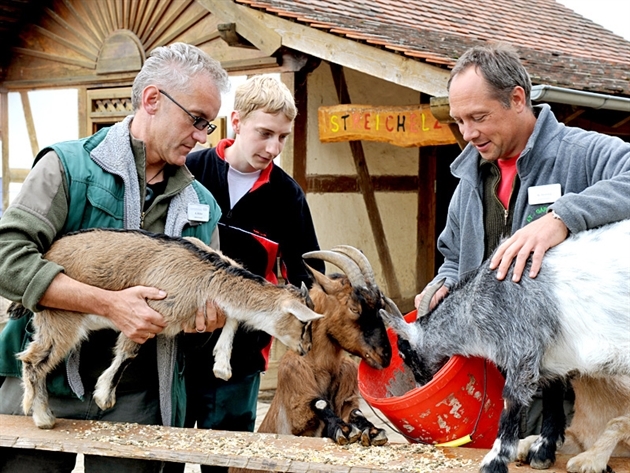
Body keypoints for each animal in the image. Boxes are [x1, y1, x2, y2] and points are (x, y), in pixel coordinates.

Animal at [17, 227, 324, 430]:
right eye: (304, 322)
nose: (306, 348)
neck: (206, 273)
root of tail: (48, 252)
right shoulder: (146, 311)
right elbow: (128, 351)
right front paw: (104, 396)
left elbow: (232, 319)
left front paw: (222, 366)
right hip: (61, 318)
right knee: (33, 360)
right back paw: (43, 418)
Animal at [380, 218, 630, 472]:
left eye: (404, 354)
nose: (421, 384)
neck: (477, 303)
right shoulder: (551, 356)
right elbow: (552, 395)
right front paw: (543, 451)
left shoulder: (522, 346)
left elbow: (511, 400)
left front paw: (494, 461)